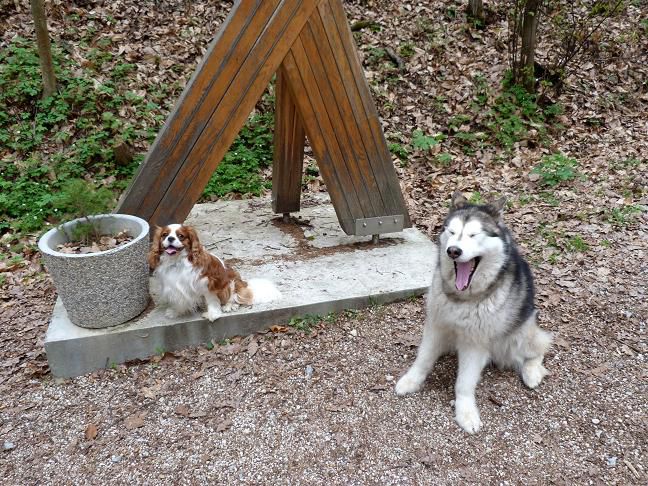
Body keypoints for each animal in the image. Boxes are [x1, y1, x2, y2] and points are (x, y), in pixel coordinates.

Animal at [149, 225, 280, 322]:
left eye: (180, 236)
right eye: (164, 235)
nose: (170, 238)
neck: (177, 261)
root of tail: (244, 284)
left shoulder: (207, 283)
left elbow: (211, 300)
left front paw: (213, 314)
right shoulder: (174, 287)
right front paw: (176, 312)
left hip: (231, 283)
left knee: (235, 297)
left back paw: (229, 306)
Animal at [394, 190, 552, 432]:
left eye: (473, 234)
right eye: (451, 232)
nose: (453, 250)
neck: (462, 298)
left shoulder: (474, 342)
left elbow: (464, 382)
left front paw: (465, 412)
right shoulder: (436, 326)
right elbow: (423, 358)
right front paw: (412, 381)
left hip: (521, 334)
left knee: (540, 348)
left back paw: (532, 372)